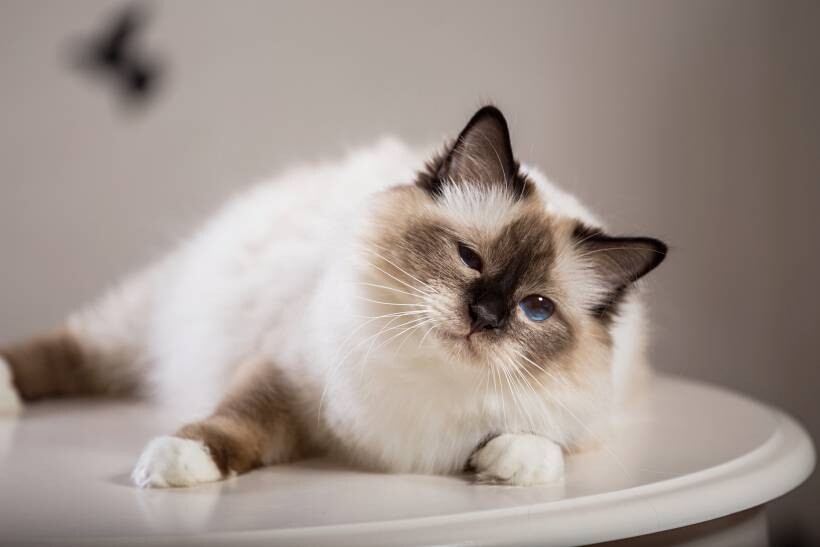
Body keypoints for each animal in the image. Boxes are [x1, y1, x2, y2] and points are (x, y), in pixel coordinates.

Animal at [0, 106, 668, 488]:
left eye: (535, 308)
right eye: (469, 259)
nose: (484, 316)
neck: (428, 378)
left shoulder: (589, 413)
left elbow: (545, 442)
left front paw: (510, 465)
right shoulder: (286, 380)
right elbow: (231, 423)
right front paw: (176, 463)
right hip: (139, 325)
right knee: (60, 351)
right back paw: (4, 395)